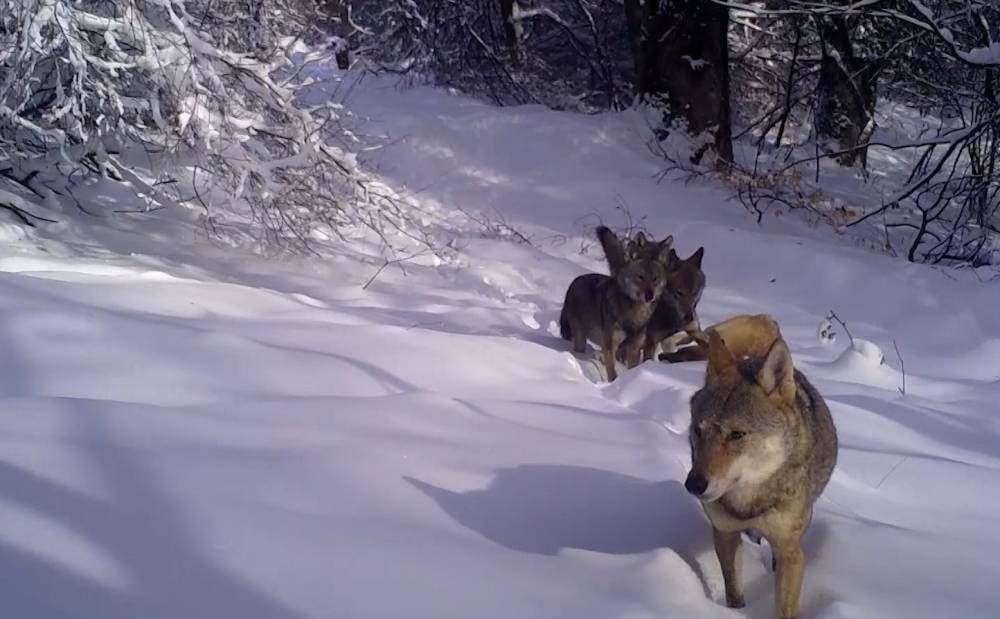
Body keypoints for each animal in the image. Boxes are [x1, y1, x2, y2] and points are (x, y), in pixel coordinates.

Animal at [564, 226, 672, 380]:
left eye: (655, 278)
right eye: (640, 277)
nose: (649, 296)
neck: (634, 314)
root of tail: (574, 281)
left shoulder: (634, 347)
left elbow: (631, 368)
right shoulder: (610, 346)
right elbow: (612, 372)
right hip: (580, 338)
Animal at [684, 318, 840, 616]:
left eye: (737, 435)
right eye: (699, 431)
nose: (693, 485)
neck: (748, 503)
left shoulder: (791, 552)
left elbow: (784, 609)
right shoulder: (724, 534)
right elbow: (734, 594)